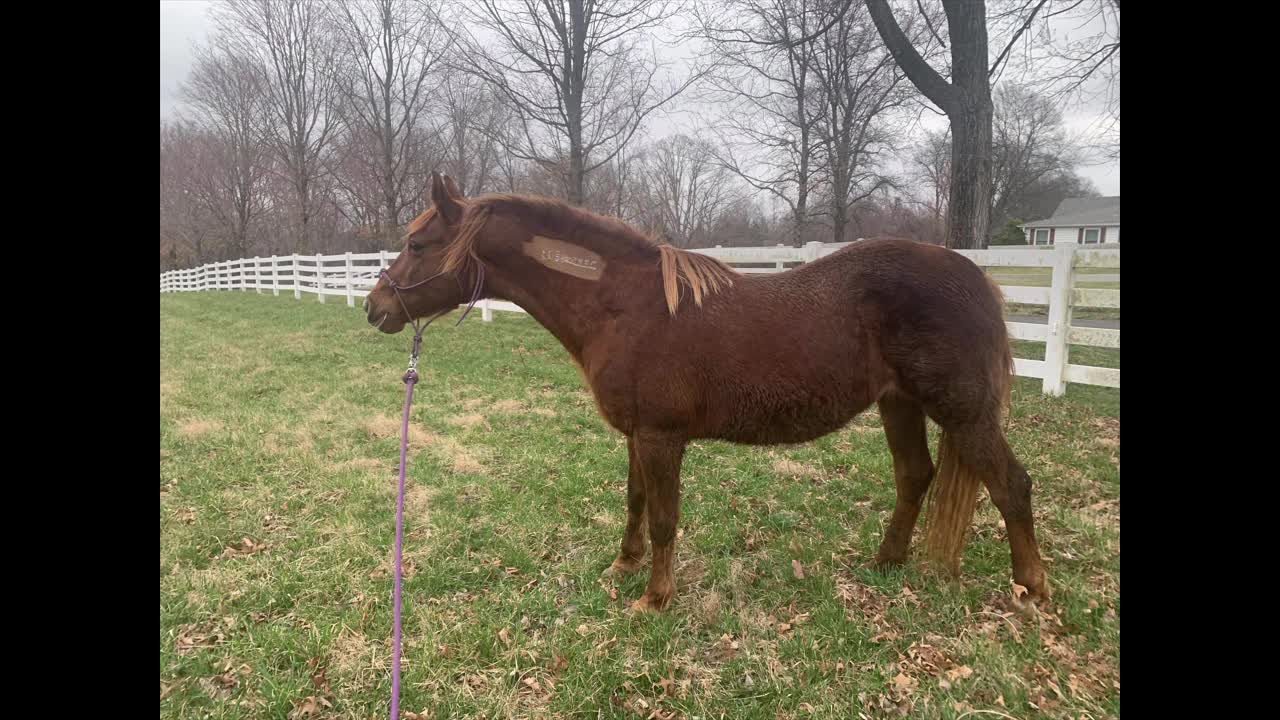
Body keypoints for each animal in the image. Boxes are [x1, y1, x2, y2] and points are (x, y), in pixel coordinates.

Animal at [366, 170, 1044, 607]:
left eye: (418, 243)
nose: (376, 308)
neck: (627, 307)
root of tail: (973, 277)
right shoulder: (637, 436)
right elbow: (636, 501)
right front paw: (625, 565)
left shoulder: (662, 437)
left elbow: (666, 516)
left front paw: (655, 599)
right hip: (898, 403)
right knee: (914, 476)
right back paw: (885, 564)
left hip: (964, 412)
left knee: (1011, 485)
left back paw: (1031, 588)